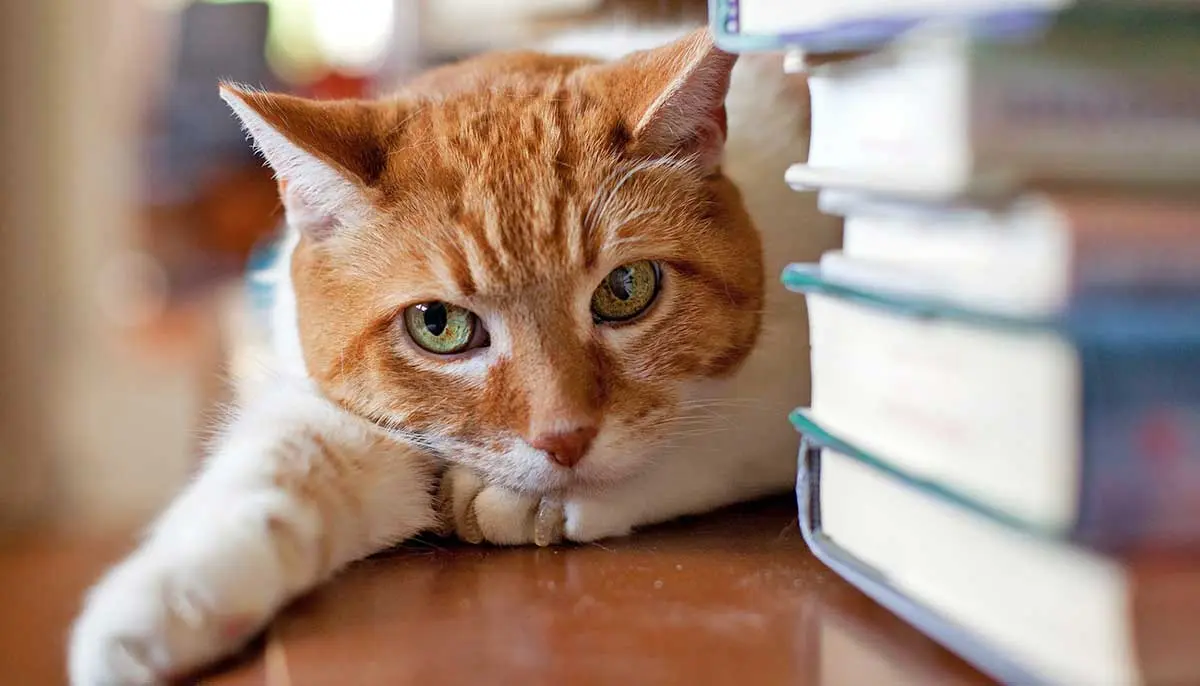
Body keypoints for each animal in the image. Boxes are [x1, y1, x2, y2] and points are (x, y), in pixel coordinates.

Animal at [70, 25, 840, 681]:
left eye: (627, 289)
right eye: (438, 325)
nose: (565, 439)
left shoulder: (791, 396)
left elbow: (711, 442)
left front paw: (535, 504)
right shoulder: (352, 414)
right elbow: (279, 464)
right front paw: (162, 602)